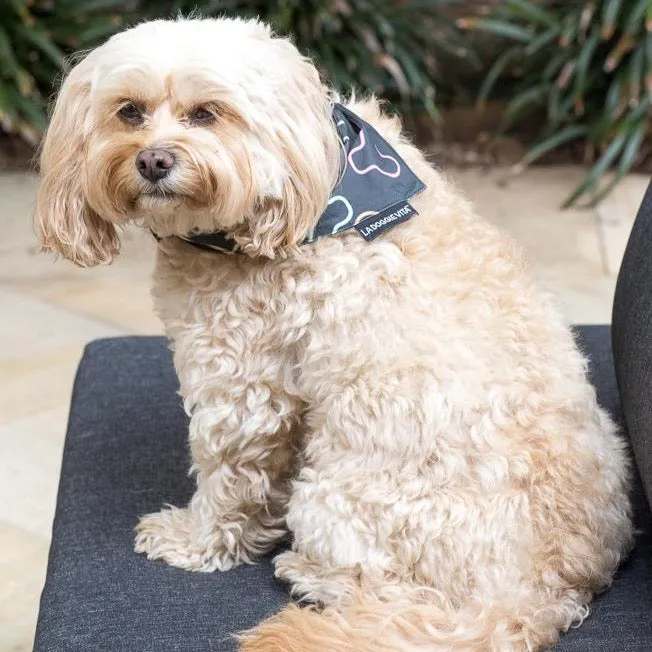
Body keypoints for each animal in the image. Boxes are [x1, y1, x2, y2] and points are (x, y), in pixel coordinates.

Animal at [35, 15, 632, 652]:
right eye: (129, 111)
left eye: (206, 114)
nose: (152, 161)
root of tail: (539, 591)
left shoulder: (240, 384)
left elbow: (228, 479)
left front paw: (195, 541)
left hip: (335, 496)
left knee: (387, 592)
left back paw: (308, 573)